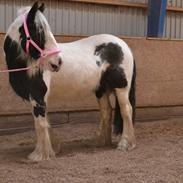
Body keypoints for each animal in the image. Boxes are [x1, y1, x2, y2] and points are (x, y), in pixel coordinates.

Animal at [3, 2, 137, 161]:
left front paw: (40, 155)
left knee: (126, 110)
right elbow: (45, 121)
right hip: (101, 90)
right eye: (39, 32)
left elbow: (40, 123)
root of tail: (123, 45)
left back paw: (125, 144)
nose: (57, 62)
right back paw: (99, 141)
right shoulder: (34, 98)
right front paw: (53, 148)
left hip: (121, 87)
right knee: (106, 112)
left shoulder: (38, 96)